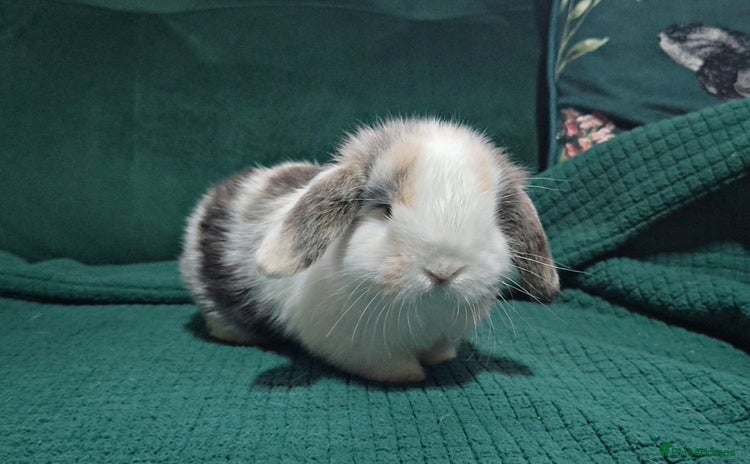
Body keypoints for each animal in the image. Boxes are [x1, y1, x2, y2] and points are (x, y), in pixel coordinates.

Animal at [180, 118, 559, 383]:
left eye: (493, 216)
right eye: (384, 209)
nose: (444, 270)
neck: (426, 314)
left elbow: (439, 352)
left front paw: (442, 360)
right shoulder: (364, 350)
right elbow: (392, 367)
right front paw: (410, 376)